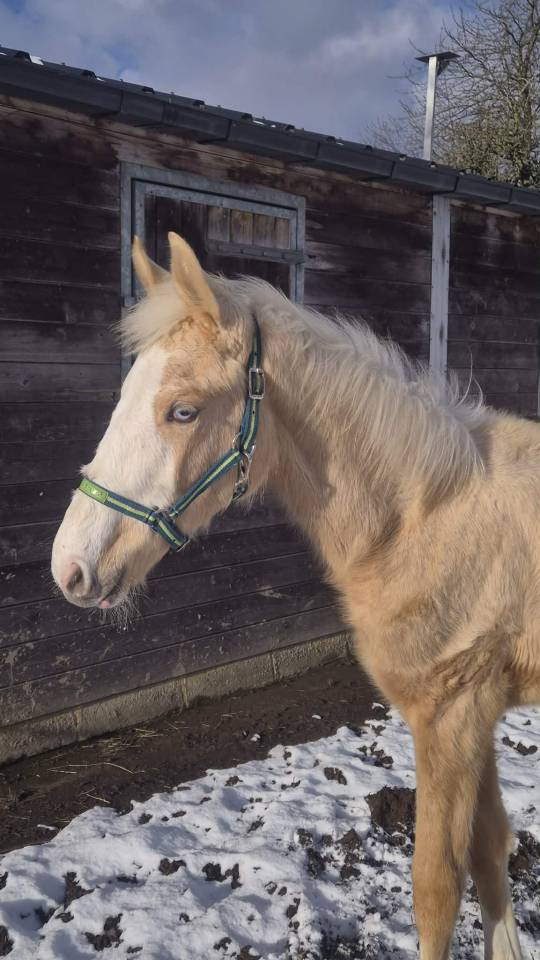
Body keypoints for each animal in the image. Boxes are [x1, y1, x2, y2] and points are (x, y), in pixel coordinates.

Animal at [52, 231, 540, 960]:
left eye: (183, 410)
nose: (71, 569)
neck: (424, 517)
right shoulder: (472, 715)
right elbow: (488, 853)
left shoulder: (451, 717)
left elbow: (437, 889)